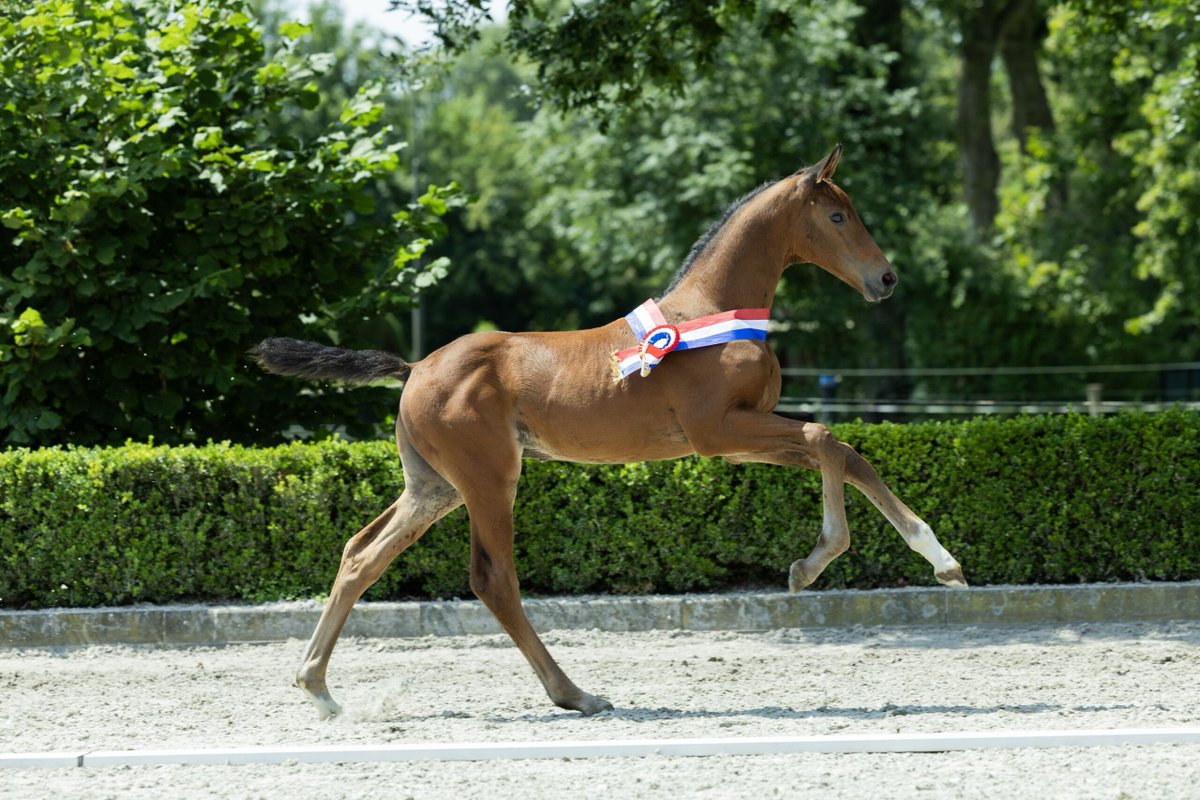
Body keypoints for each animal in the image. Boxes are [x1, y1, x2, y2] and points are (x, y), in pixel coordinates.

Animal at [251, 144, 967, 720]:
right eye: (839, 216)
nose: (886, 278)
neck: (712, 311)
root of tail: (415, 366)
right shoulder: (719, 430)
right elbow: (826, 440)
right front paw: (812, 563)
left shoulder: (736, 443)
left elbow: (843, 451)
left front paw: (941, 560)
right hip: (489, 479)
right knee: (492, 579)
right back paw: (576, 694)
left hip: (434, 487)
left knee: (360, 555)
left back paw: (319, 689)